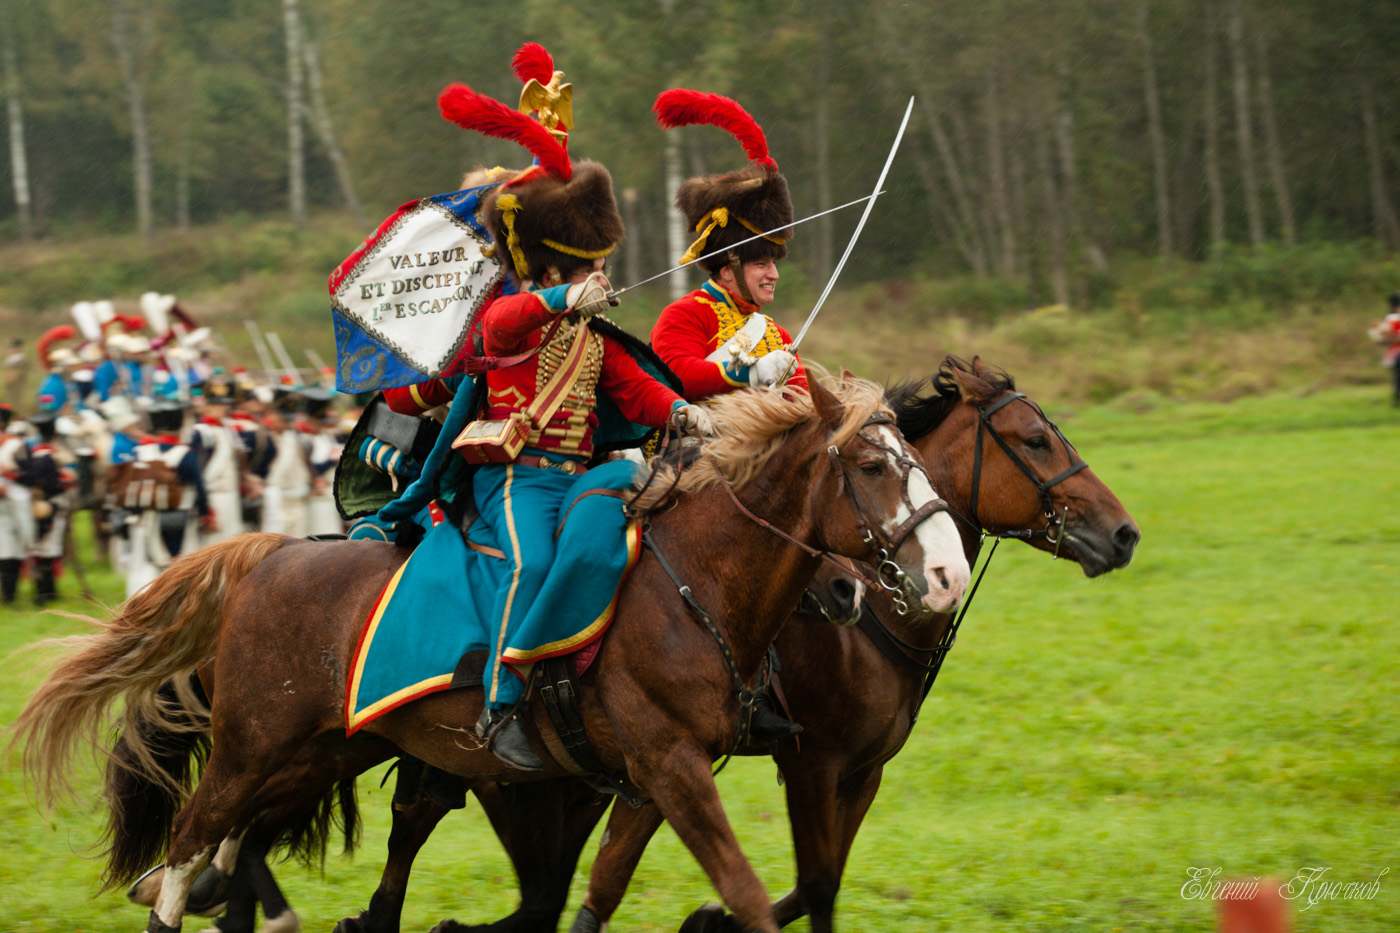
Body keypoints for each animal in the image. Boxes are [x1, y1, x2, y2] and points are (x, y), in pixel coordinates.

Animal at [13, 369, 974, 930]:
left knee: (221, 843)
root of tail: (273, 554)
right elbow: (742, 892)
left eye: (916, 461)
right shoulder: (670, 767)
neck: (691, 580)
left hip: (318, 753)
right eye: (872, 467)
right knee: (191, 840)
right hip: (256, 748)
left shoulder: (644, 780)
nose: (946, 574)